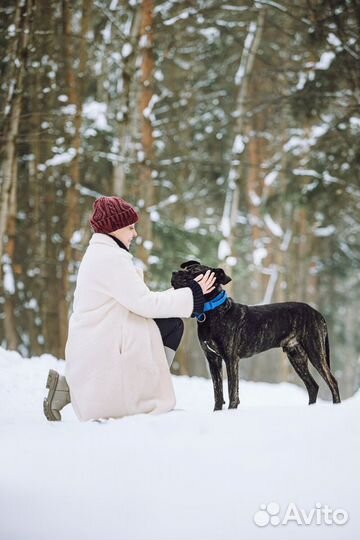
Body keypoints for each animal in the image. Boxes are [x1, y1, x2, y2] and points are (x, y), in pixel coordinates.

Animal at [171, 260, 340, 410]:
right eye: (186, 268)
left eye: (194, 271)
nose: (173, 273)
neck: (212, 311)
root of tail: (317, 313)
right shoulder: (212, 359)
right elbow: (217, 392)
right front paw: (217, 412)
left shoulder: (230, 359)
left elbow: (232, 391)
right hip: (296, 356)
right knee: (313, 386)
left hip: (315, 352)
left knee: (332, 382)